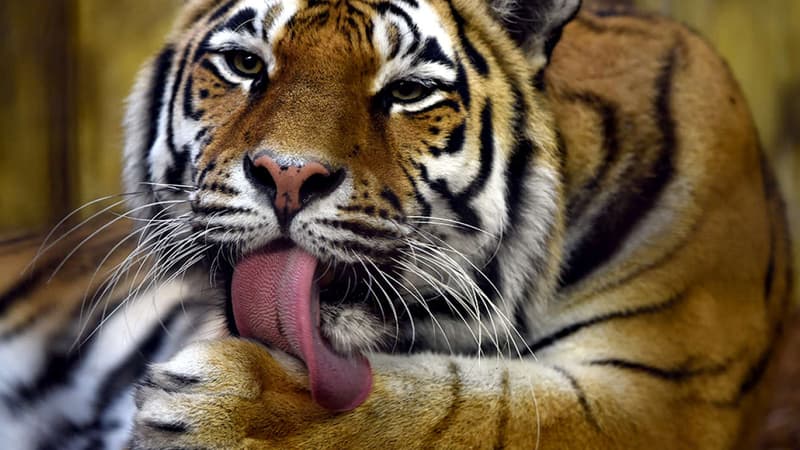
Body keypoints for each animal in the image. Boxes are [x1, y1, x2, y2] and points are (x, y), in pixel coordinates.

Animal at [0, 0, 792, 448]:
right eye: (245, 65)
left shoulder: (664, 395)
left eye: (409, 92)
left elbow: (469, 412)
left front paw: (223, 407)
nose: (288, 175)